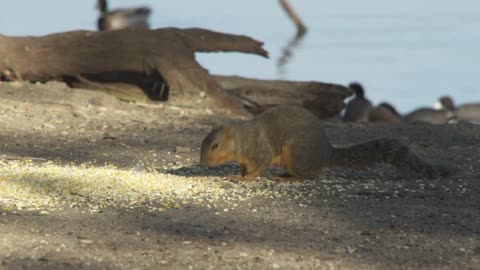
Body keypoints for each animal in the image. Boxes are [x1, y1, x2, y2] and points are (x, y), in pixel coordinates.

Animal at [201, 106, 448, 180]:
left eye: (215, 145)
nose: (203, 163)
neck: (242, 139)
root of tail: (326, 153)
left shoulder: (260, 149)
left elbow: (259, 166)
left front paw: (244, 179)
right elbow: (245, 168)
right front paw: (238, 174)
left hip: (295, 151)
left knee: (306, 175)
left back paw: (287, 179)